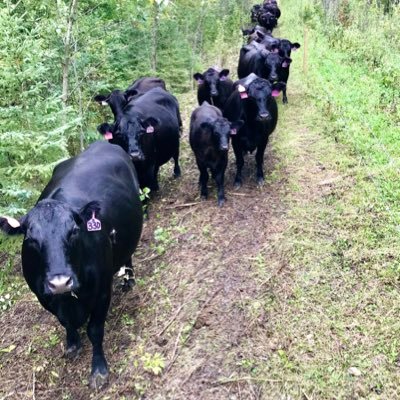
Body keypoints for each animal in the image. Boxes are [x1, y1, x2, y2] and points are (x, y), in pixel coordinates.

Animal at [0, 142, 143, 390]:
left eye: (75, 231)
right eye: (31, 238)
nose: (60, 282)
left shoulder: (102, 291)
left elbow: (95, 330)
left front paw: (98, 370)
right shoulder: (42, 295)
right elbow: (64, 321)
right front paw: (73, 343)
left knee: (128, 256)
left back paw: (129, 279)